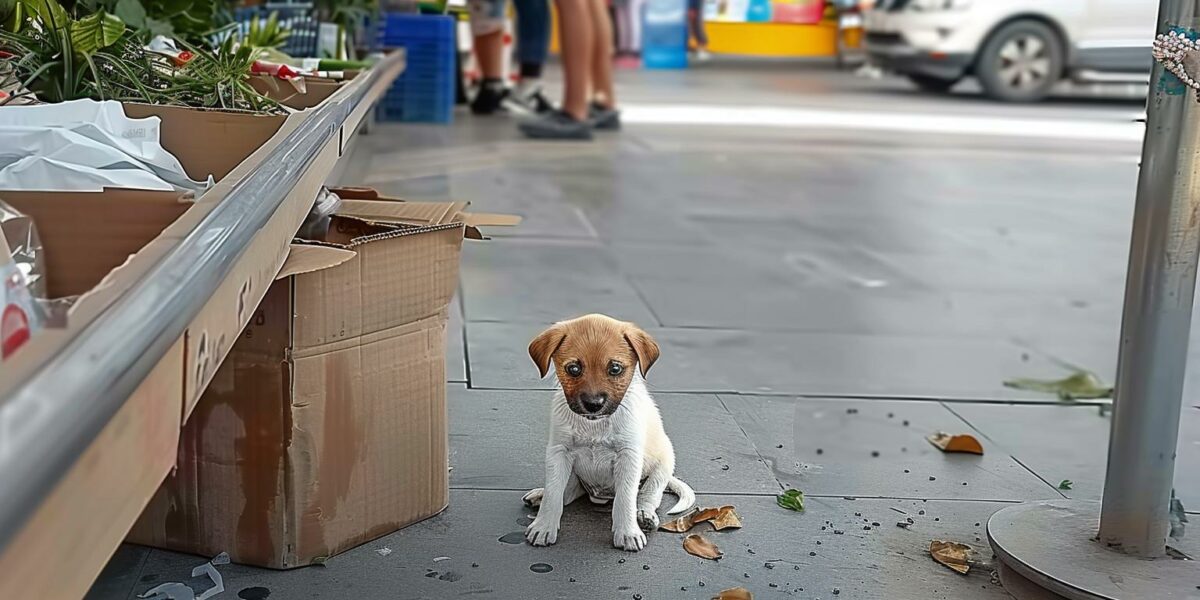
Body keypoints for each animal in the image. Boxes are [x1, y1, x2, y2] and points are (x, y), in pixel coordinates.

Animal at [523, 314, 696, 552]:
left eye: (615, 369)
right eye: (573, 369)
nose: (593, 405)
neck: (594, 426)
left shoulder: (628, 456)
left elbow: (625, 498)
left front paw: (628, 533)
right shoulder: (559, 452)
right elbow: (554, 492)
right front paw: (543, 526)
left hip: (663, 465)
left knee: (648, 494)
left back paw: (644, 515)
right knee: (566, 493)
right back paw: (541, 495)